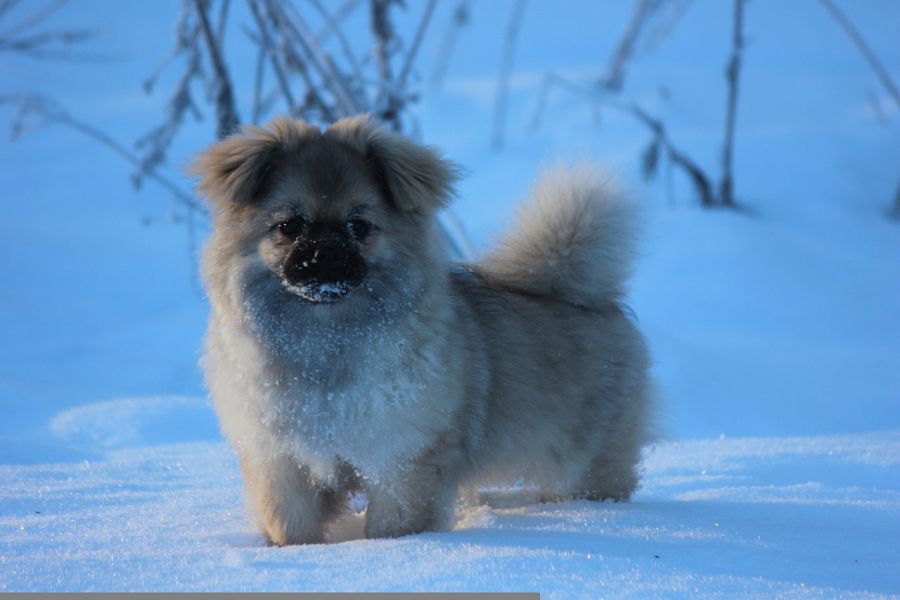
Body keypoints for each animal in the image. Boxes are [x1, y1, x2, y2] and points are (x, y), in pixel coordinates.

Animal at [192, 115, 652, 548]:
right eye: (290, 226)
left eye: (359, 226)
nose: (325, 254)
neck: (326, 344)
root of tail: (582, 294)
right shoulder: (281, 462)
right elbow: (290, 525)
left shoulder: (401, 460)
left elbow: (393, 525)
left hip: (588, 464)